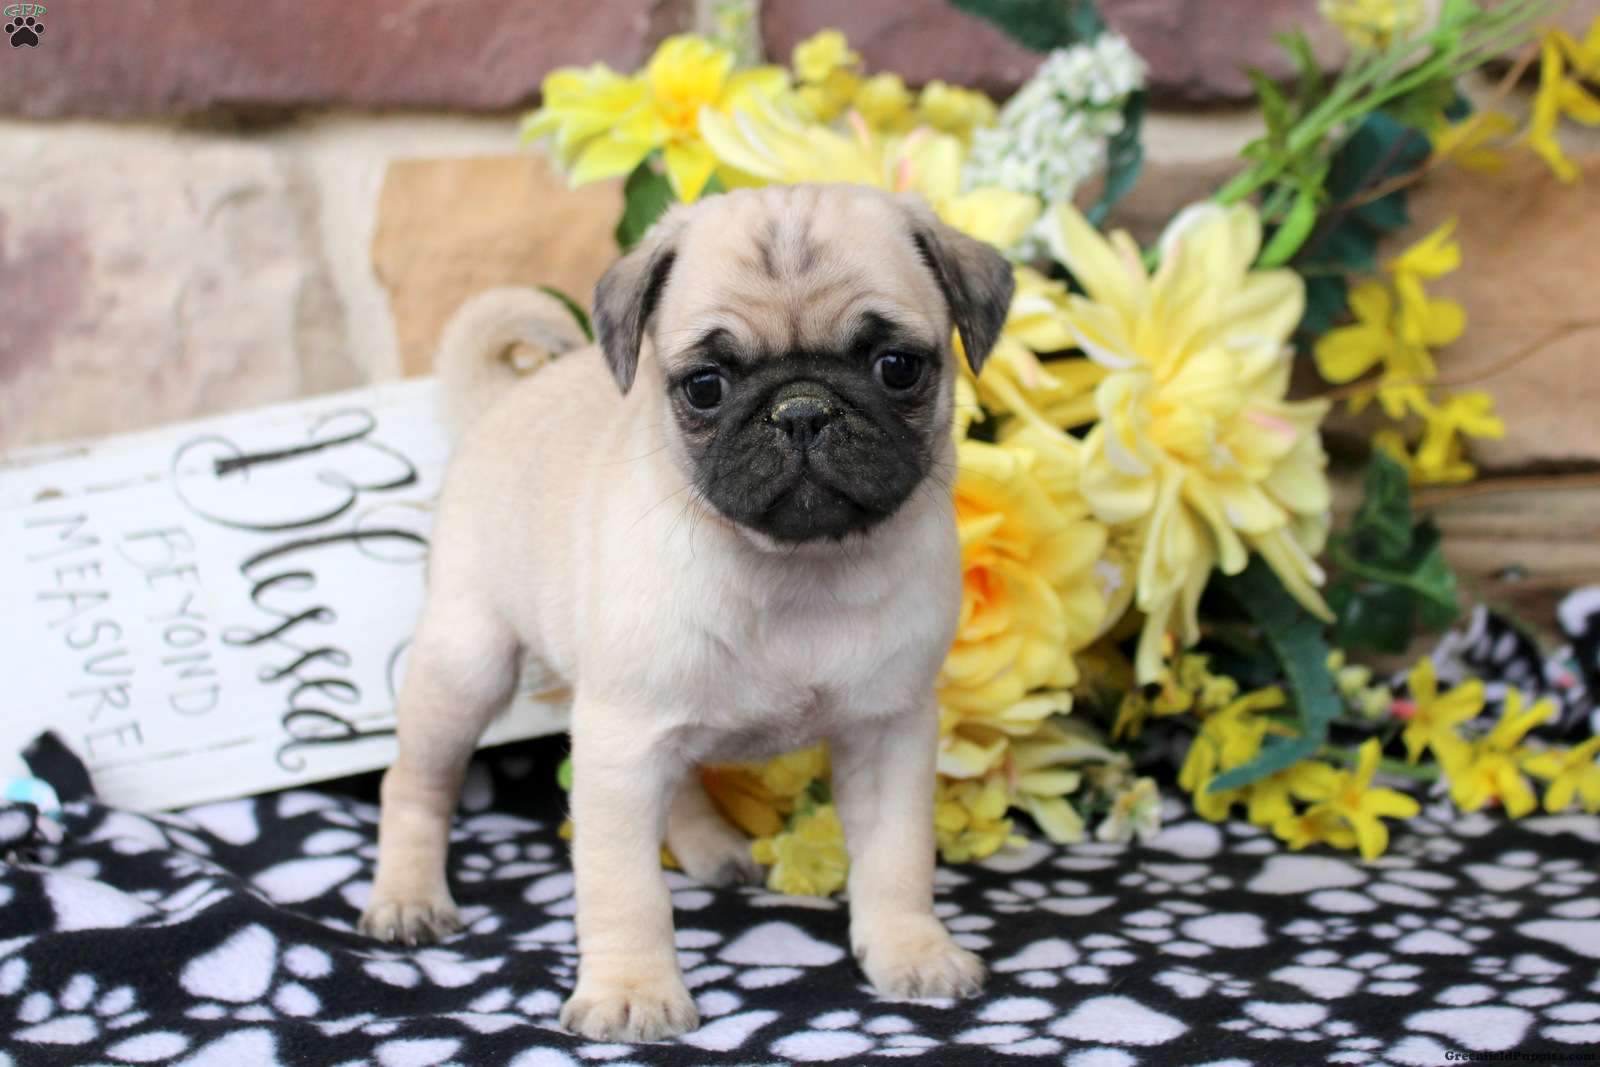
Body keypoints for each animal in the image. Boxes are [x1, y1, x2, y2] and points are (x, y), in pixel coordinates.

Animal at [360, 183, 1015, 1042]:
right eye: (706, 385)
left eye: (898, 368)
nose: (801, 410)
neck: (797, 570)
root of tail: (498, 402)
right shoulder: (618, 748)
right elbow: (625, 888)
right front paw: (633, 988)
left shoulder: (889, 730)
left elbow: (897, 856)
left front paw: (912, 947)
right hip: (468, 662)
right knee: (414, 783)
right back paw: (407, 893)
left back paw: (712, 846)